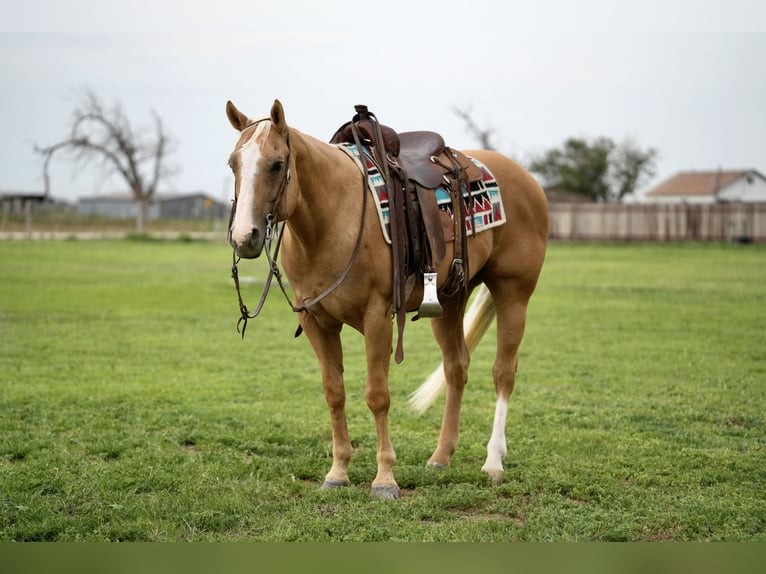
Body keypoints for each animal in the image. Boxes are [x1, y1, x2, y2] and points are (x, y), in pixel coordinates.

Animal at [225, 99, 548, 500]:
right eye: (232, 163)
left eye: (276, 164)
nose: (244, 237)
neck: (334, 217)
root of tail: (527, 179)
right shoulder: (315, 320)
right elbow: (334, 392)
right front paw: (337, 472)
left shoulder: (377, 316)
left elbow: (377, 395)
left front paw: (384, 480)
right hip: (449, 301)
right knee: (456, 368)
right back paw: (441, 456)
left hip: (513, 293)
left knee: (503, 372)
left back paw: (493, 462)